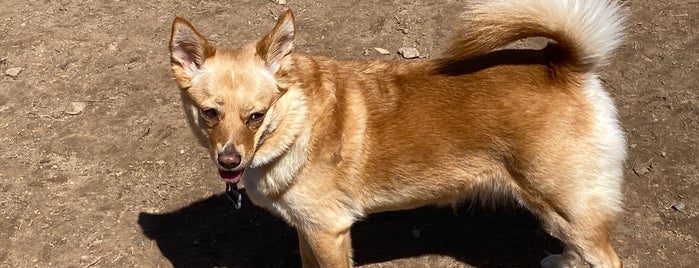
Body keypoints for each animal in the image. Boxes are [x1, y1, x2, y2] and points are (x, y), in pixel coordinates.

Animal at [168, 1, 628, 266]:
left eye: (256, 116)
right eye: (209, 113)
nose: (229, 160)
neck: (298, 121)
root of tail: (561, 65)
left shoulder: (329, 232)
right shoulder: (308, 231)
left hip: (566, 205)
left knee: (606, 259)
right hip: (564, 212)